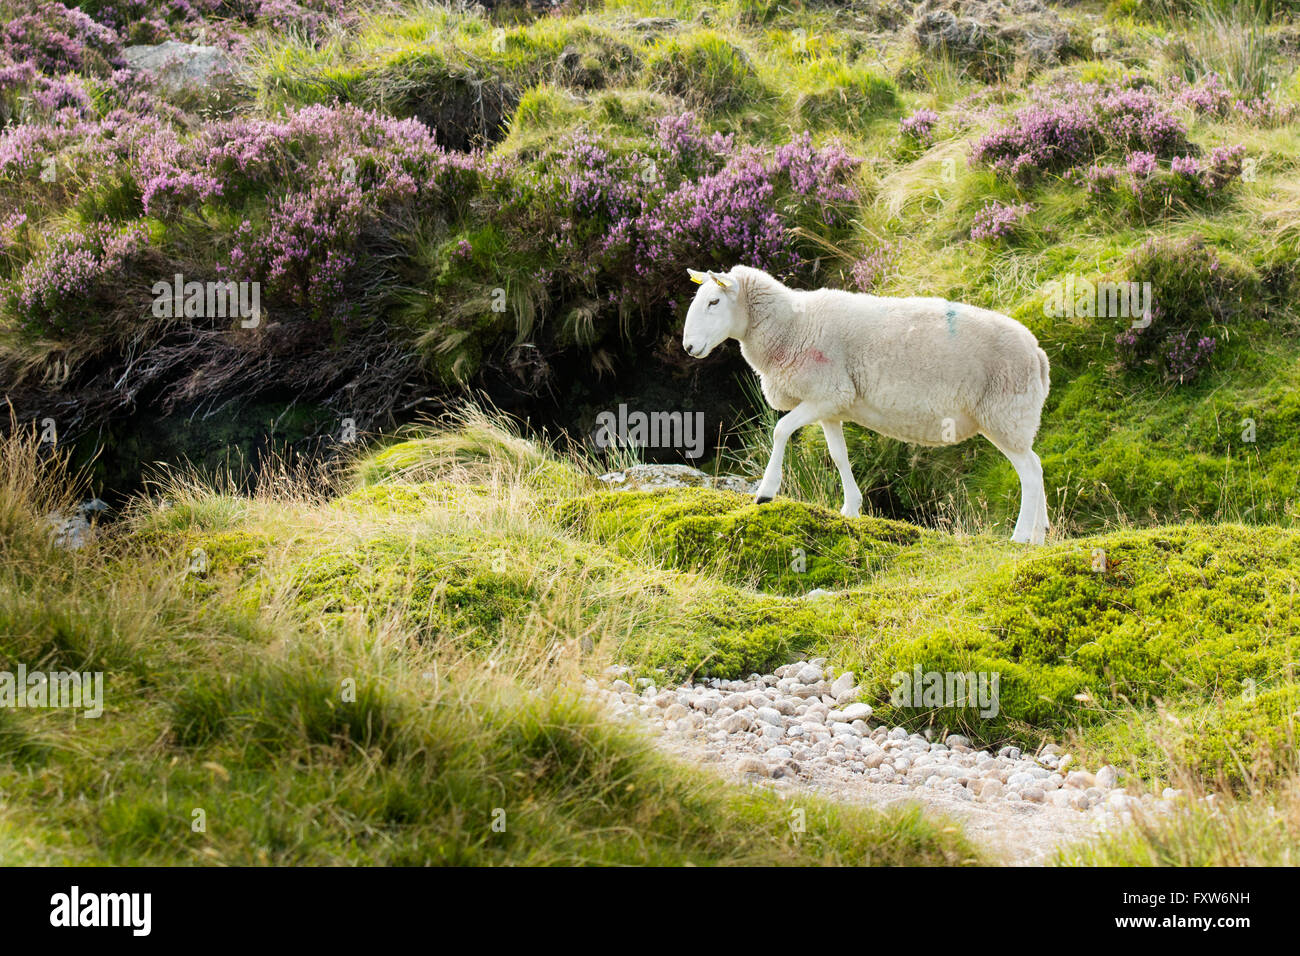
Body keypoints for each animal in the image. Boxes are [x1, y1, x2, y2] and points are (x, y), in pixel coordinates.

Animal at [686, 265, 1050, 546]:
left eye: (714, 301)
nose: (688, 347)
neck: (792, 325)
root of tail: (1037, 353)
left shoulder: (828, 392)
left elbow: (780, 430)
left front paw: (765, 492)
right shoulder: (830, 403)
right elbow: (838, 455)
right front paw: (851, 508)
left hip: (1005, 412)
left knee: (1029, 474)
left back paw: (1020, 537)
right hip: (1013, 419)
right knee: (1036, 464)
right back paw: (1040, 535)